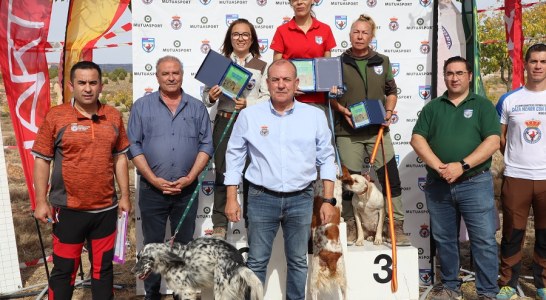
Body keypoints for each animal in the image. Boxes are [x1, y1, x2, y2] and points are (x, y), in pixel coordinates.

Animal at [132, 238, 262, 298]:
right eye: (138, 257)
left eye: (145, 259)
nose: (133, 271)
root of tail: (237, 260)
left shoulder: (187, 291)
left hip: (221, 291)